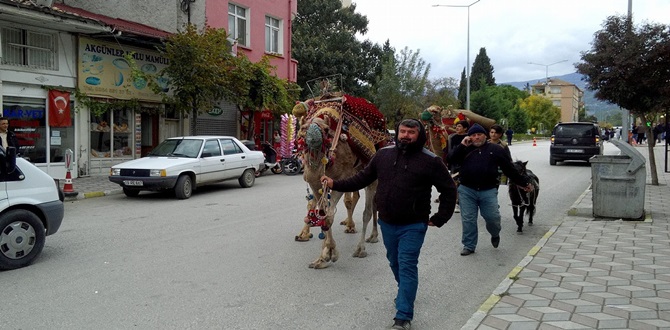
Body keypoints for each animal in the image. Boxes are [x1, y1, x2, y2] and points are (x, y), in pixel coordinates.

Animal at [290, 93, 388, 268]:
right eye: (301, 131)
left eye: (326, 130)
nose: (312, 137)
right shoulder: (316, 183)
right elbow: (321, 213)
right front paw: (322, 256)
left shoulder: (341, 179)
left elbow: (329, 215)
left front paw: (330, 253)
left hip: (371, 175)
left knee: (369, 209)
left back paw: (364, 244)